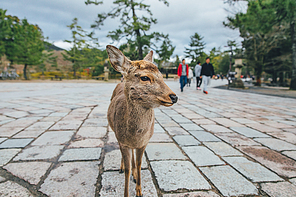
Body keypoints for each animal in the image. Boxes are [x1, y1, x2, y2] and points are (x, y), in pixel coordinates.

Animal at [106, 45, 177, 196]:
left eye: (162, 76)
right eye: (145, 77)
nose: (174, 97)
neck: (134, 135)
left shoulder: (144, 142)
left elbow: (139, 164)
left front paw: (139, 190)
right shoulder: (123, 141)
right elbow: (127, 170)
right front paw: (127, 192)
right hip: (115, 133)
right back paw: (121, 167)